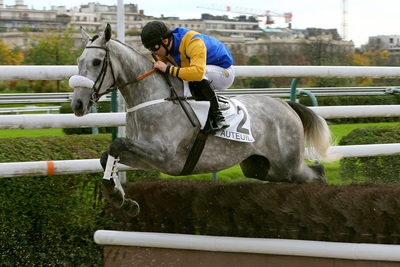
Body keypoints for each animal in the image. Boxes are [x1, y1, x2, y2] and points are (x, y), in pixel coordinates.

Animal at [69, 24, 338, 217]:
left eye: (96, 62)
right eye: (79, 62)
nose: (78, 105)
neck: (153, 97)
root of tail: (286, 105)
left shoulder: (162, 154)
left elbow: (116, 145)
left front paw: (119, 197)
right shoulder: (146, 157)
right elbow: (107, 156)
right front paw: (123, 200)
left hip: (287, 165)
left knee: (318, 172)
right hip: (262, 167)